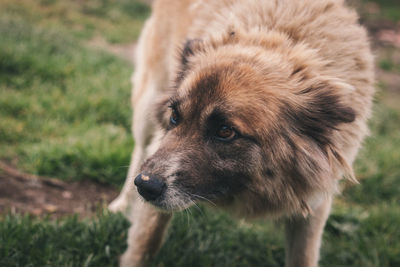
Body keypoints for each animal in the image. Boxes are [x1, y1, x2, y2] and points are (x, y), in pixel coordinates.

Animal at [108, 1, 374, 266]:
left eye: (225, 131)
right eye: (175, 116)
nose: (145, 185)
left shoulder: (314, 202)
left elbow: (303, 256)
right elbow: (146, 239)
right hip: (147, 105)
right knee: (139, 149)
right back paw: (121, 203)